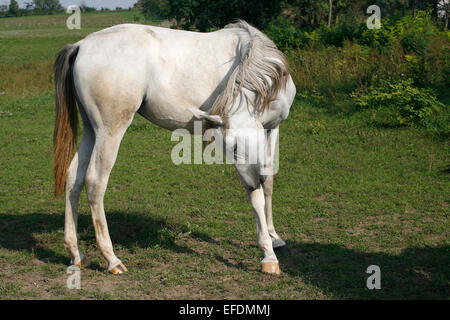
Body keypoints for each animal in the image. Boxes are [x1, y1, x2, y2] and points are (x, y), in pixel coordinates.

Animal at [53, 20, 296, 276]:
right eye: (232, 148)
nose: (251, 182)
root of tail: (81, 45)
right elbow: (258, 196)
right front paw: (268, 255)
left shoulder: (271, 130)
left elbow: (268, 182)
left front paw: (275, 238)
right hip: (109, 131)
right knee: (95, 183)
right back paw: (112, 259)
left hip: (92, 130)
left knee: (73, 178)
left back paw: (76, 253)